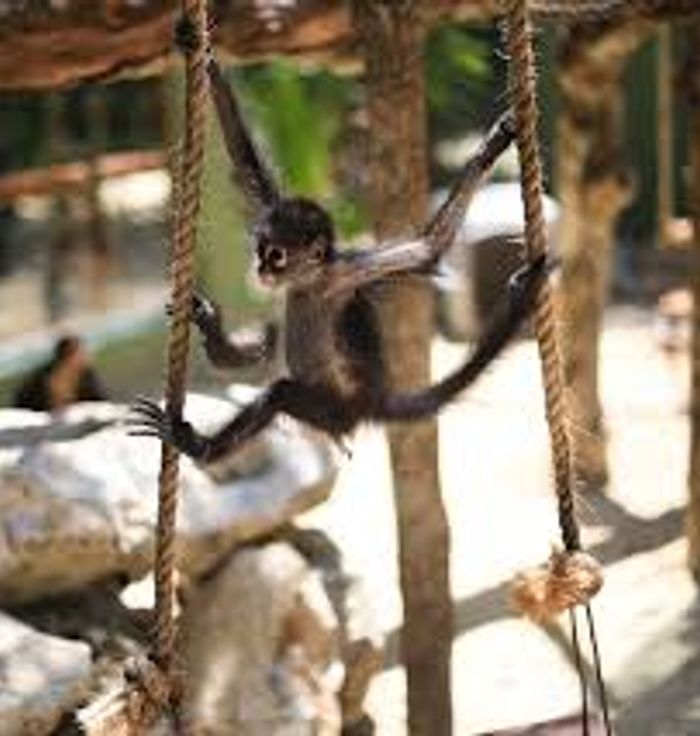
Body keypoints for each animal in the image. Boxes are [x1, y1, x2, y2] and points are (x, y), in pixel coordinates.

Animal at [127, 17, 549, 462]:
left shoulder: (346, 273)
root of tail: (369, 405)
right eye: (261, 251)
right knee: (271, 348)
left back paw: (195, 445)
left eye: (276, 255)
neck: (308, 284)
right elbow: (244, 163)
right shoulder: (276, 221)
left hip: (330, 410)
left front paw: (491, 150)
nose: (260, 269)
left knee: (279, 393)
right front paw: (200, 51)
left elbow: (430, 248)